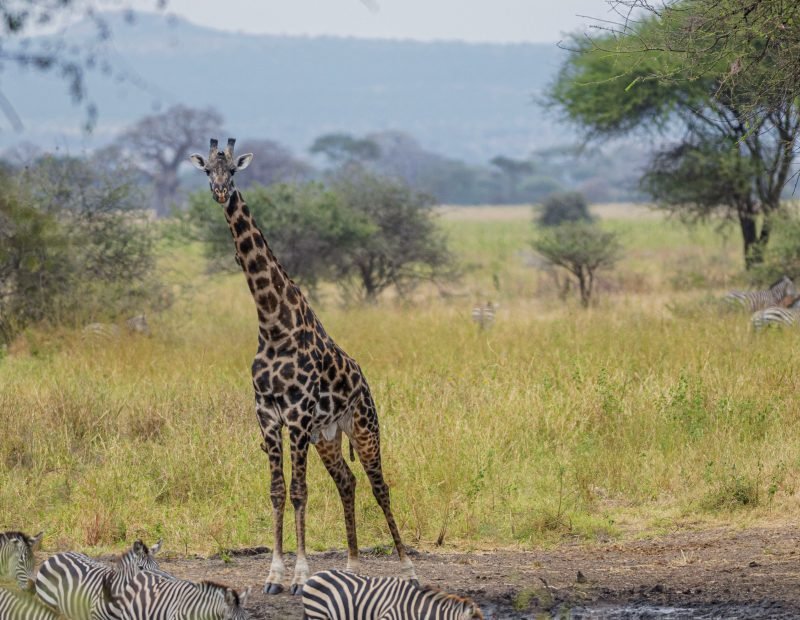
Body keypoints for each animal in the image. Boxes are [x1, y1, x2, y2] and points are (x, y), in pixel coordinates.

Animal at [189, 139, 417, 596]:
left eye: (233, 171)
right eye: (207, 171)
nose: (221, 192)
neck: (273, 322)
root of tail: (364, 380)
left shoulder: (296, 414)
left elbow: (298, 491)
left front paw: (299, 576)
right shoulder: (267, 414)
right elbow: (277, 491)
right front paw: (273, 576)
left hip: (364, 427)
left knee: (379, 485)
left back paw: (407, 569)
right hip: (326, 436)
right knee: (347, 480)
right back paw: (351, 567)